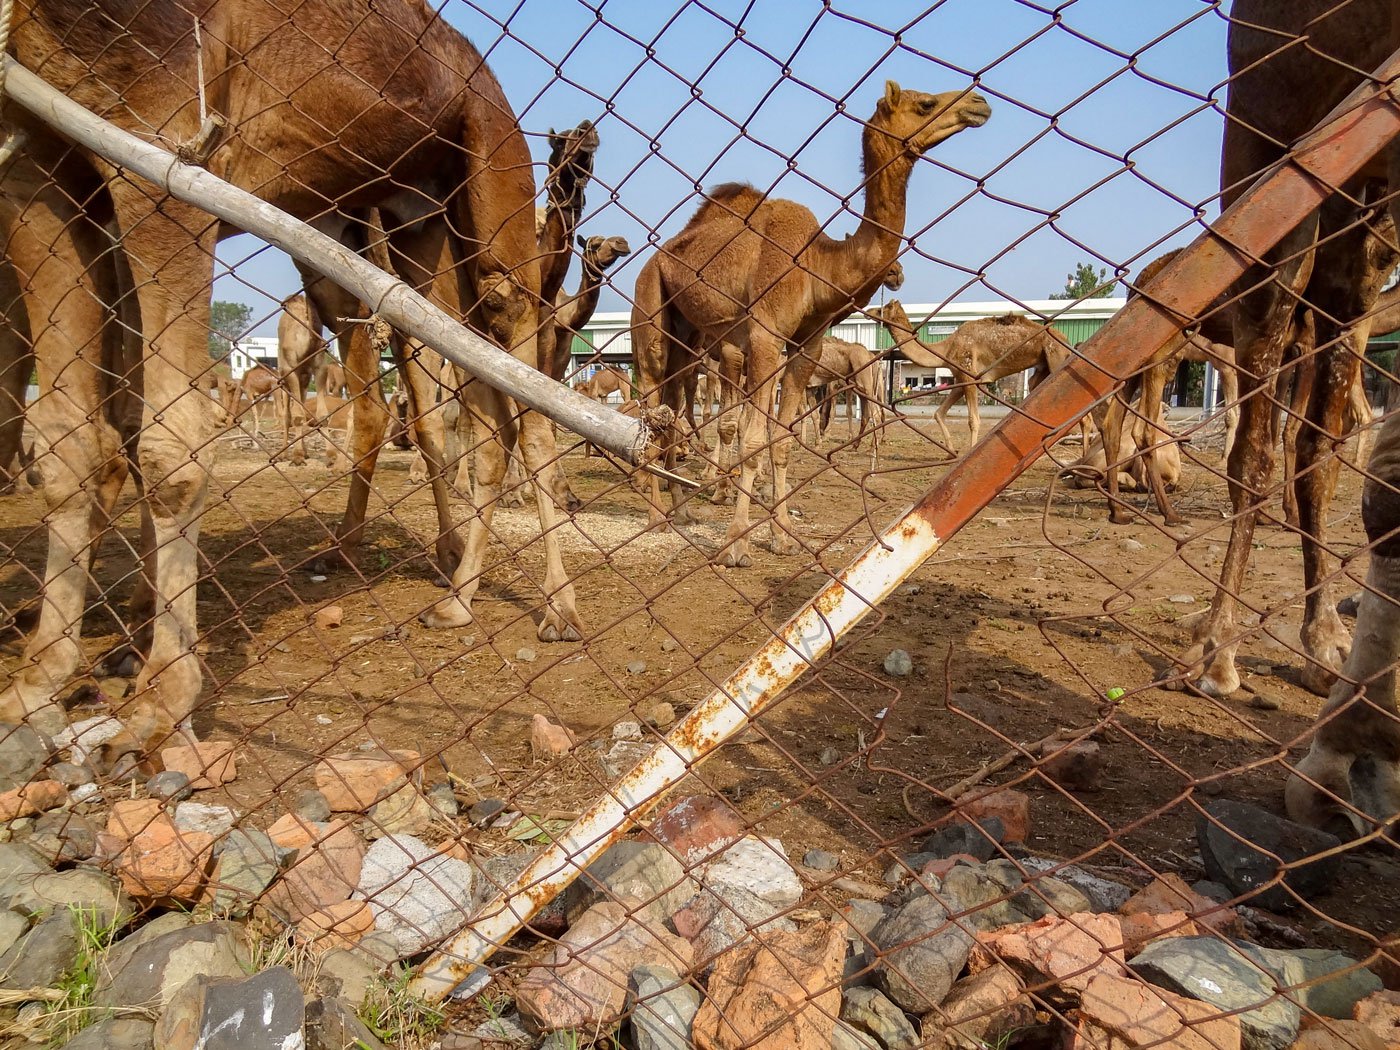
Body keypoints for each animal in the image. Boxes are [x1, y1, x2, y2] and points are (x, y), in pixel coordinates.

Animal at [4, 0, 568, 761]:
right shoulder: (41, 162)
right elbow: (68, 439)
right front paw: (36, 685)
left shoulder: (166, 145)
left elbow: (170, 439)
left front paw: (159, 700)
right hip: (418, 223)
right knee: (476, 402)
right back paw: (455, 599)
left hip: (492, 164)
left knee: (521, 382)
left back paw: (555, 607)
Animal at [630, 82, 991, 568]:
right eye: (925, 103)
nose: (980, 103)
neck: (818, 265)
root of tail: (657, 257)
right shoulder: (764, 337)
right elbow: (752, 440)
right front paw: (737, 543)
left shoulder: (808, 345)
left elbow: (781, 441)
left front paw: (781, 536)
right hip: (649, 302)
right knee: (652, 395)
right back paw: (655, 517)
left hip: (688, 337)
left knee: (672, 401)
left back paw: (682, 512)